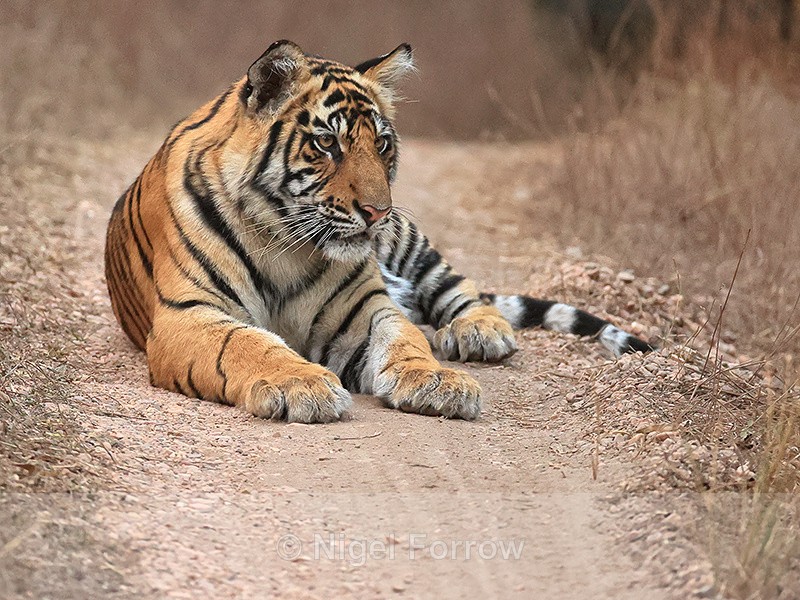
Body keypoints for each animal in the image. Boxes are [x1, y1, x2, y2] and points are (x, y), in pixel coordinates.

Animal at [104, 40, 652, 424]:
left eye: (382, 143)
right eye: (327, 143)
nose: (376, 211)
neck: (283, 241)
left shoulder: (363, 309)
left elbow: (404, 336)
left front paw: (436, 380)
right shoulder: (188, 315)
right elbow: (247, 344)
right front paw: (301, 385)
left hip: (410, 245)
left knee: (460, 290)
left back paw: (479, 332)